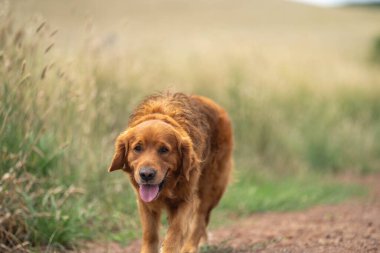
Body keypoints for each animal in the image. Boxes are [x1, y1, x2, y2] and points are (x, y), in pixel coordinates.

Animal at [107, 93, 232, 253]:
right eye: (137, 148)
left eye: (164, 149)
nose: (146, 174)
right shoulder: (144, 203)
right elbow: (150, 234)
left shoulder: (185, 199)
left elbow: (175, 232)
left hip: (211, 188)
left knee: (200, 219)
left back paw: (190, 247)